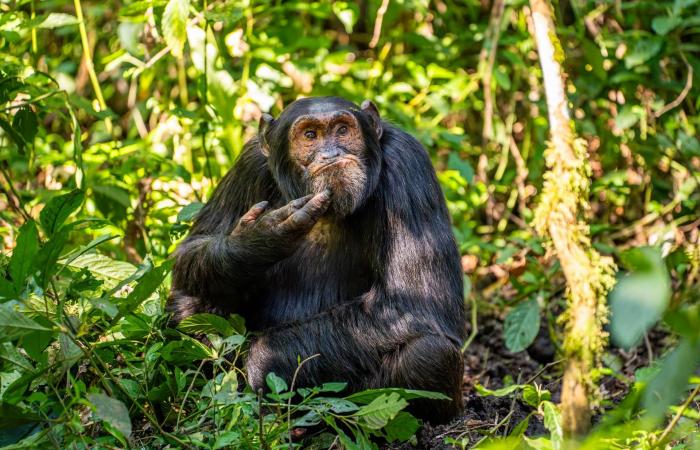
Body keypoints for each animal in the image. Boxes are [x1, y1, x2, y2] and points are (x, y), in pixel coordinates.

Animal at [168, 96, 464, 424]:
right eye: (310, 135)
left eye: (342, 129)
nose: (331, 153)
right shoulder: (248, 164)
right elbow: (192, 248)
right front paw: (257, 240)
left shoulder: (407, 163)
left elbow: (413, 302)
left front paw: (262, 361)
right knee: (189, 302)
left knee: (429, 354)